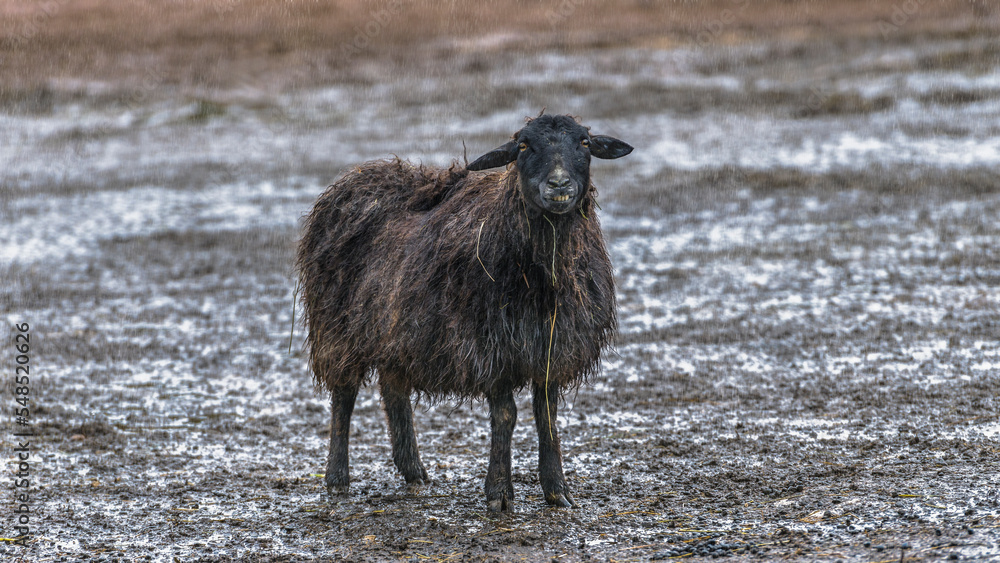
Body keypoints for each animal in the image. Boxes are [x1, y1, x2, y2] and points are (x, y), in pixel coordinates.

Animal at [297, 113, 633, 512]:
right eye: (523, 146)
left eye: (584, 143)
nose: (559, 184)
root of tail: (356, 175)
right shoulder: (490, 348)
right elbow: (506, 416)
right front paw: (499, 494)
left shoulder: (552, 348)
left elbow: (547, 417)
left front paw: (557, 491)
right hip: (336, 326)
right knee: (343, 396)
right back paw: (337, 479)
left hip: (395, 330)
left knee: (393, 390)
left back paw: (413, 471)